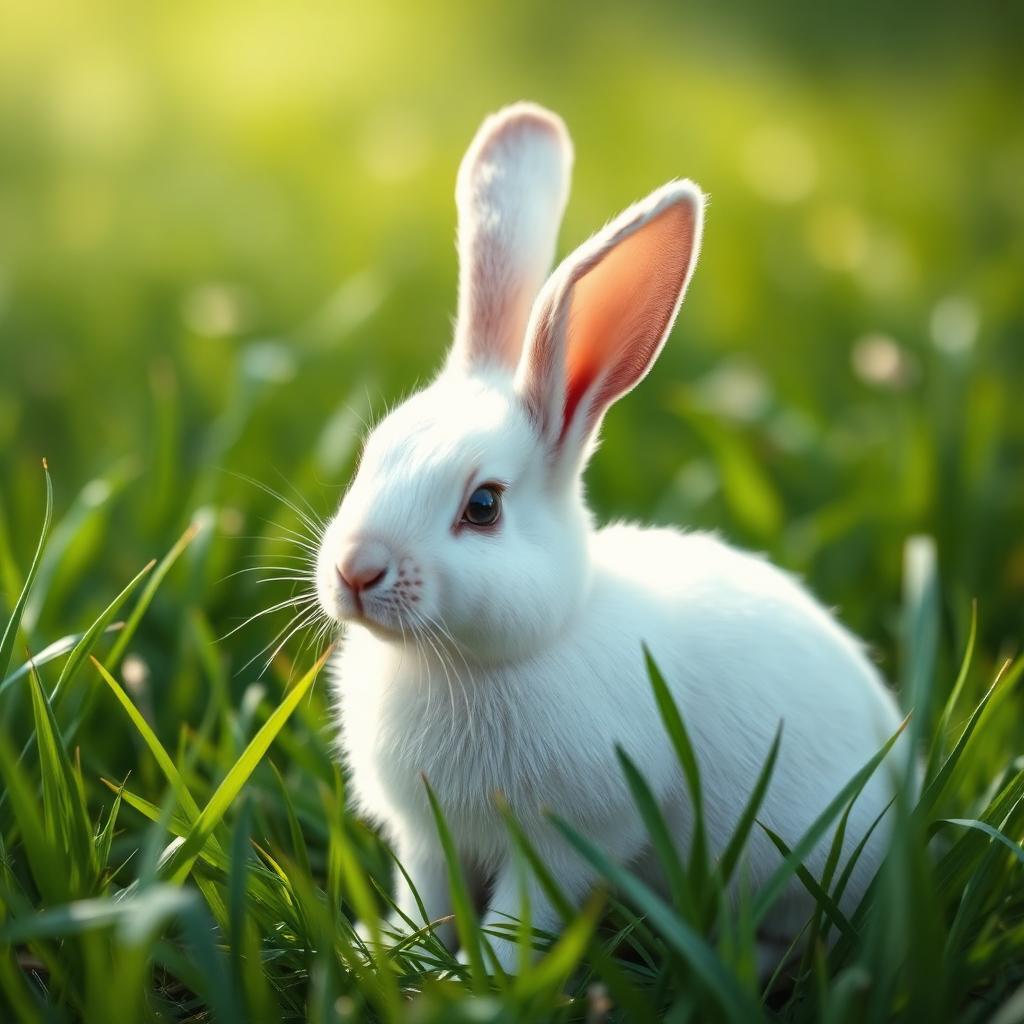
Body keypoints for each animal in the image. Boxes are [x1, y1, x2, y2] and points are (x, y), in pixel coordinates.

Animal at [314, 101, 905, 975]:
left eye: (483, 506)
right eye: (369, 456)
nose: (357, 570)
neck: (473, 663)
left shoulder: (567, 840)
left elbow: (517, 918)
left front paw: (486, 979)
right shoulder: (425, 838)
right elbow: (423, 901)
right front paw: (387, 954)